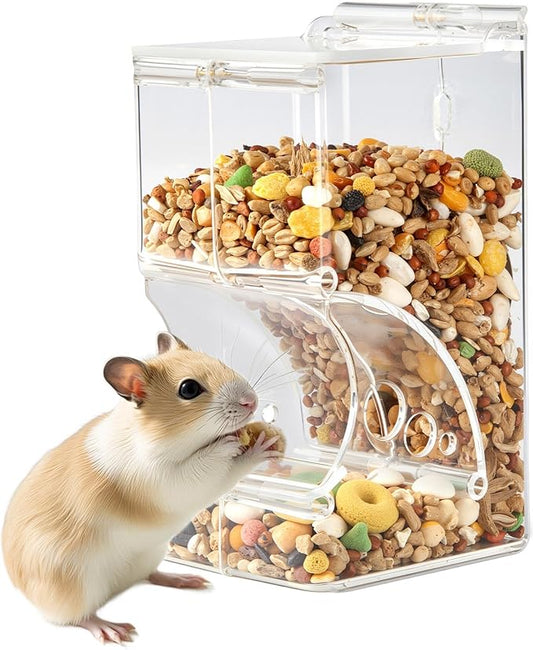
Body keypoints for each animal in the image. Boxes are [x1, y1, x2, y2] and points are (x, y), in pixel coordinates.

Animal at [2, 332, 283, 644]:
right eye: (189, 389)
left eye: (218, 361)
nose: (252, 402)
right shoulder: (172, 481)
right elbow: (222, 465)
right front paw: (252, 445)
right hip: (73, 587)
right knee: (77, 618)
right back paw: (113, 630)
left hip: (149, 555)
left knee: (148, 576)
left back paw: (188, 580)